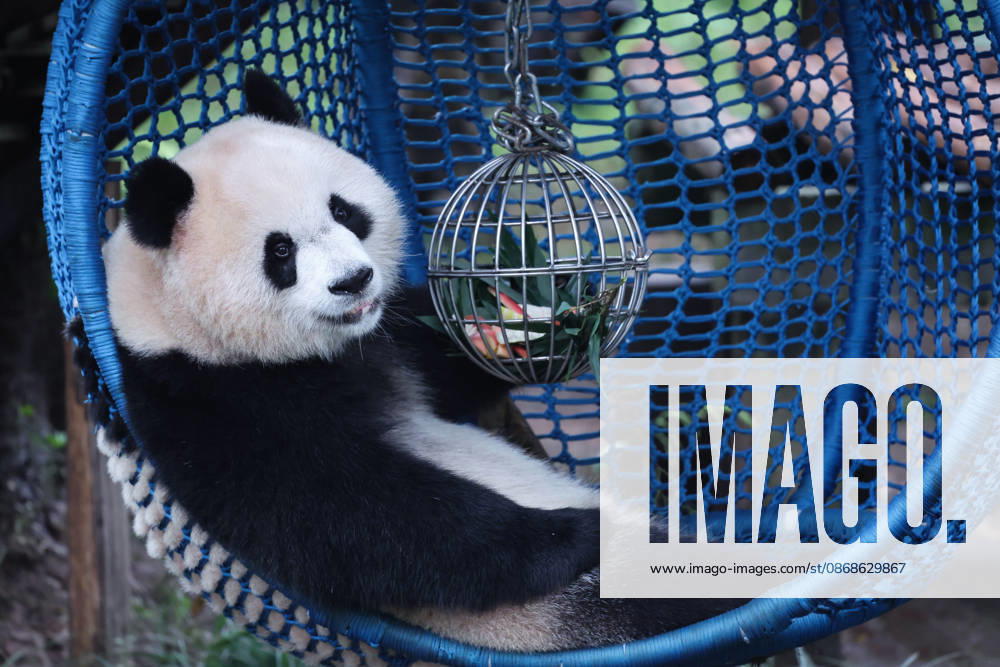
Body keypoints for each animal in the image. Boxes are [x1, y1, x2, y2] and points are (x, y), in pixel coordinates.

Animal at [95, 69, 744, 652]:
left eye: (344, 211)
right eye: (279, 251)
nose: (354, 282)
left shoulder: (389, 338)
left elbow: (446, 358)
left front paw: (548, 321)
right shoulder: (208, 404)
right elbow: (356, 519)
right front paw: (577, 532)